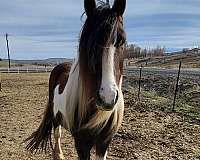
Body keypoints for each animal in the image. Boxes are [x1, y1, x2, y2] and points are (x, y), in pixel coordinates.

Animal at [25, 0, 126, 159]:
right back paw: (58, 155)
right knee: (57, 133)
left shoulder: (104, 142)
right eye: (89, 43)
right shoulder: (81, 143)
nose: (107, 97)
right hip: (56, 116)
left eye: (122, 41)